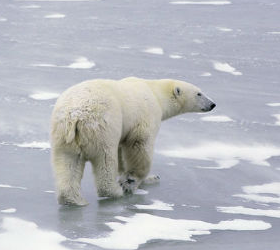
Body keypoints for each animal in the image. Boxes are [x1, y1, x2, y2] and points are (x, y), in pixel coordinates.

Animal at [50, 76, 215, 205]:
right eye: (199, 93)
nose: (213, 104)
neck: (155, 93)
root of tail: (75, 116)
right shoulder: (146, 115)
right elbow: (139, 145)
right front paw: (135, 180)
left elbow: (122, 151)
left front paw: (133, 177)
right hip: (102, 127)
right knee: (105, 159)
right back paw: (115, 192)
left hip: (64, 136)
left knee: (68, 162)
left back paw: (74, 200)